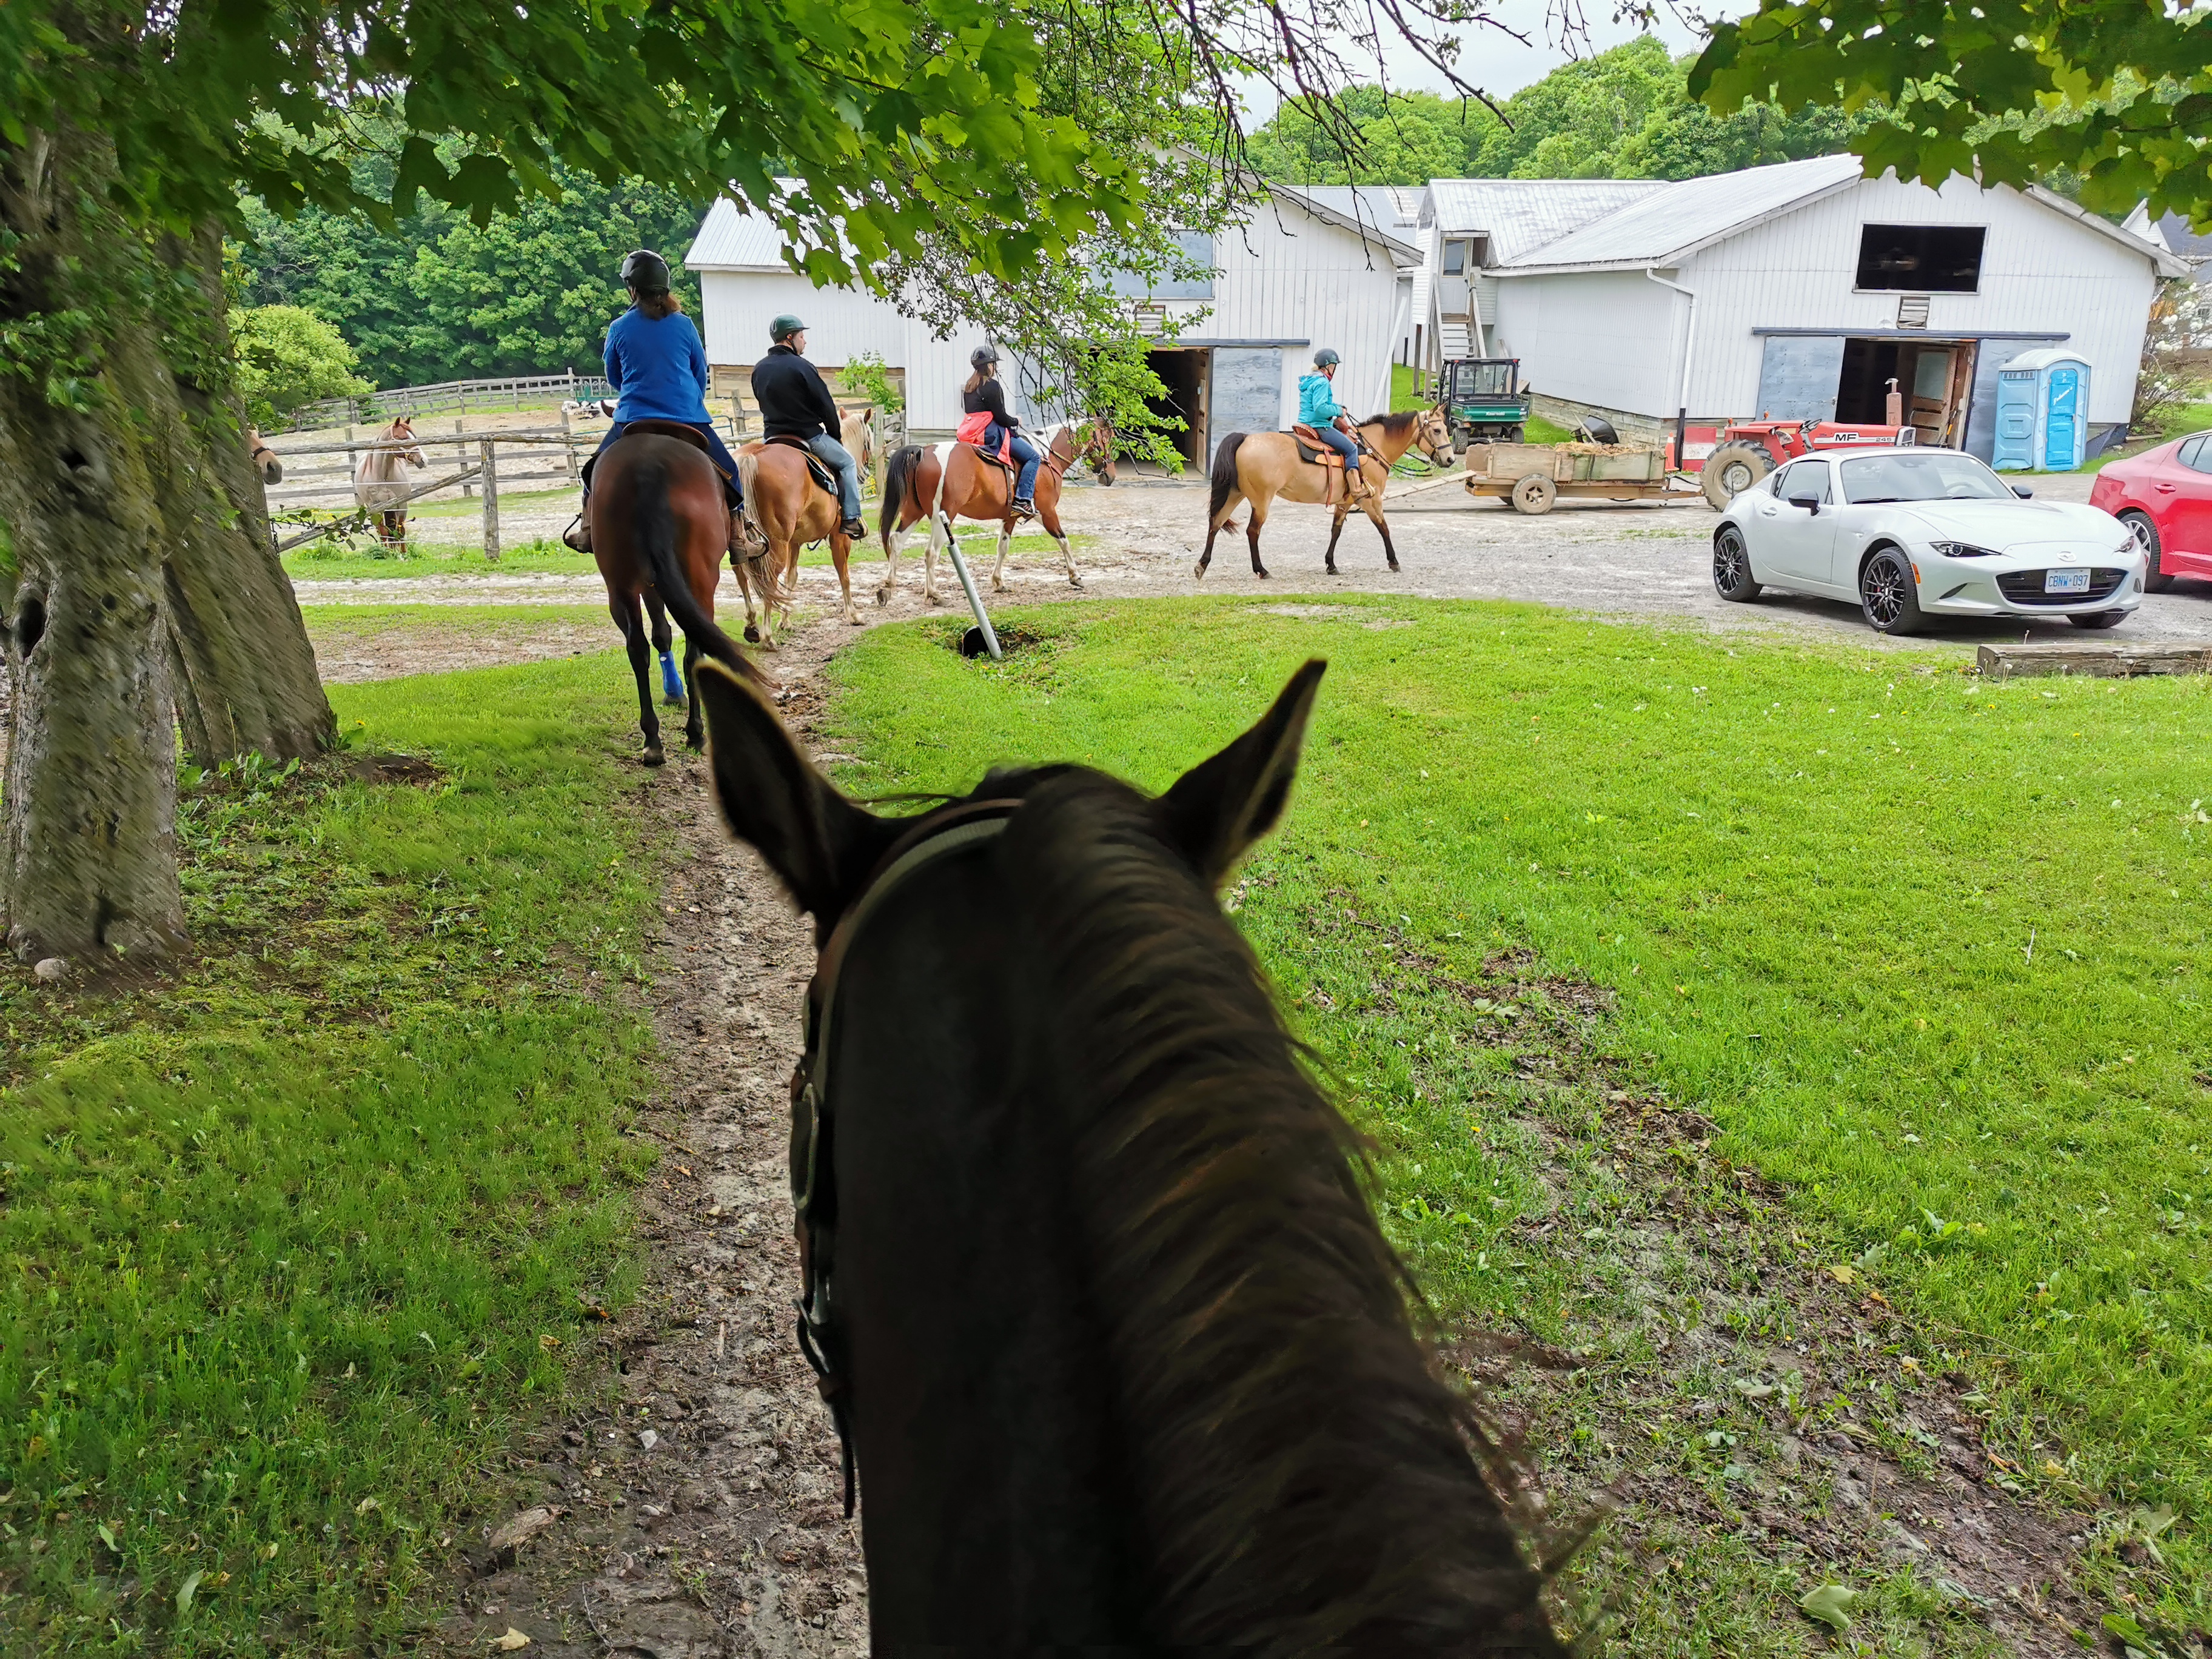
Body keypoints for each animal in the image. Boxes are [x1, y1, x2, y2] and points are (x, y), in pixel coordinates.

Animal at [354, 415, 427, 546]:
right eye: (403, 438)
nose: (424, 460)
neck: (383, 478)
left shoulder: (401, 504)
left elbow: (400, 532)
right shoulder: (375, 508)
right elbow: (383, 533)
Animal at [588, 424, 760, 769]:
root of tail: (647, 468)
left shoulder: (648, 582)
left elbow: (660, 634)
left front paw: (672, 695)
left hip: (621, 583)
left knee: (637, 648)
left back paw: (652, 741)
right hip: (701, 581)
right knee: (695, 650)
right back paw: (696, 733)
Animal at [862, 418, 1106, 606]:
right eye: (1107, 439)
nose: (1108, 474)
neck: (1045, 457)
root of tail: (924, 451)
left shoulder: (1010, 517)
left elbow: (1002, 547)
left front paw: (998, 582)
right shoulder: (1046, 513)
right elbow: (1064, 541)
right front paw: (1075, 576)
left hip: (914, 512)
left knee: (896, 542)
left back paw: (887, 588)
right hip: (942, 517)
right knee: (931, 552)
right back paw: (934, 594)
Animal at [1203, 404, 1460, 579]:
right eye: (1437, 430)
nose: (1450, 459)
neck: (1371, 448)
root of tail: (1246, 439)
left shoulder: (1345, 502)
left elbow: (1336, 531)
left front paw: (1331, 565)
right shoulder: (1372, 500)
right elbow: (1384, 528)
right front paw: (1394, 562)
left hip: (1236, 494)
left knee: (1216, 522)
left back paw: (1202, 565)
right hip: (1261, 500)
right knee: (1252, 531)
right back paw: (1261, 570)